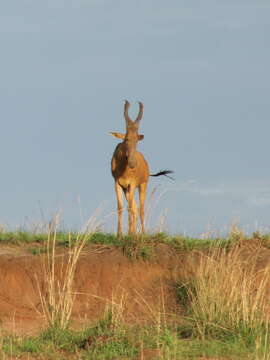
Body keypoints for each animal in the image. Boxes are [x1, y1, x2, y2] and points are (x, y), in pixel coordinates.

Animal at [109, 101, 173, 236]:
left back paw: (142, 233)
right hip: (126, 190)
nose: (133, 163)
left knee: (141, 209)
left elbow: (130, 208)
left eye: (137, 139)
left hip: (142, 185)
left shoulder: (132, 184)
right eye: (126, 138)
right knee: (135, 208)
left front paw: (129, 234)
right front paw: (119, 234)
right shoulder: (118, 183)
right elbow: (120, 207)